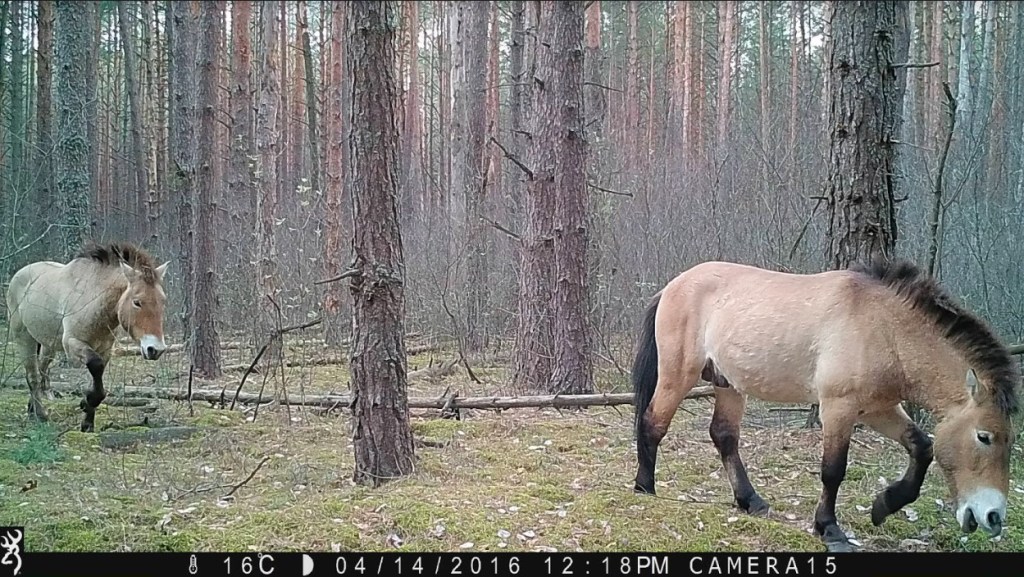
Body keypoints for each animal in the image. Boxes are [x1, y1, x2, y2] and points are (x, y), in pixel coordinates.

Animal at [5, 242, 170, 432]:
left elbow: (97, 377)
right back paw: (40, 415)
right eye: (137, 302)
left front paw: (88, 422)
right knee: (33, 376)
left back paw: (32, 409)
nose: (155, 349)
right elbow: (95, 366)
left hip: (47, 345)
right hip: (25, 339)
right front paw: (86, 403)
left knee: (41, 371)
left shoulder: (105, 350)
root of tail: (19, 274)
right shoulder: (73, 344)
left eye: (163, 301)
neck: (93, 299)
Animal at [631, 259, 1020, 552]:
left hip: (727, 384)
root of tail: (672, 287)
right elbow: (833, 470)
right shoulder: (838, 408)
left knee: (723, 436)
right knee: (653, 422)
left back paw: (751, 501)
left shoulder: (877, 410)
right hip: (679, 374)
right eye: (984, 437)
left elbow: (921, 446)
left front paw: (883, 506)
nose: (994, 517)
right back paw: (645, 488)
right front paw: (829, 529)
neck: (884, 328)